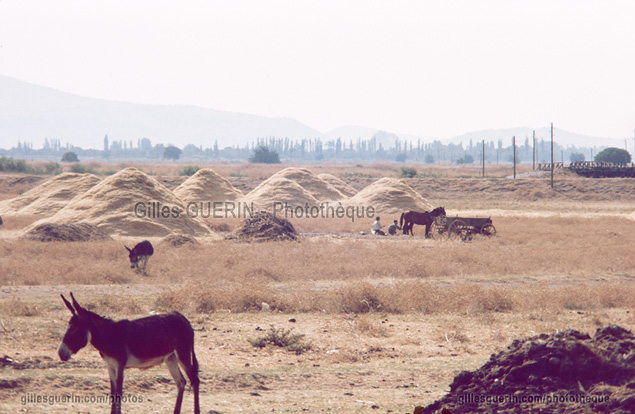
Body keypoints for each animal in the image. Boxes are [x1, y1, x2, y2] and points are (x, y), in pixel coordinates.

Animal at [59, 292, 201, 412]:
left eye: (73, 329)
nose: (60, 353)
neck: (109, 335)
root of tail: (183, 318)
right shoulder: (110, 366)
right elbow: (113, 394)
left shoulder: (120, 365)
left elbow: (119, 394)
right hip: (170, 358)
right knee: (181, 382)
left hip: (183, 354)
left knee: (195, 380)